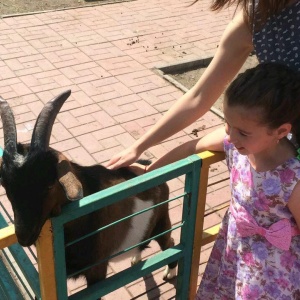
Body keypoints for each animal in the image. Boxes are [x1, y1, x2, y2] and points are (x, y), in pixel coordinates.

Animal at [0, 89, 177, 290]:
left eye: (50, 184)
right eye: (5, 184)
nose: (24, 236)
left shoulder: (97, 270)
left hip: (162, 220)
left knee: (169, 241)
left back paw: (170, 272)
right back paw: (135, 258)